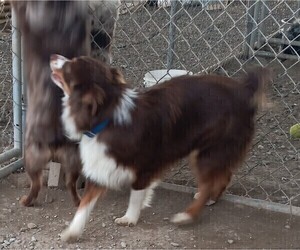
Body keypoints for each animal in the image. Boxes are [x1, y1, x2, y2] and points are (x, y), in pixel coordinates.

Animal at [49, 54, 270, 240]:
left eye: (70, 65)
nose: (52, 55)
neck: (107, 117)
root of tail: (244, 90)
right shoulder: (103, 165)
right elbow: (84, 206)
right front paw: (72, 232)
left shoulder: (143, 166)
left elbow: (135, 195)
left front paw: (130, 218)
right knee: (224, 175)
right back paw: (210, 198)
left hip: (207, 151)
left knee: (210, 181)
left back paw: (188, 215)